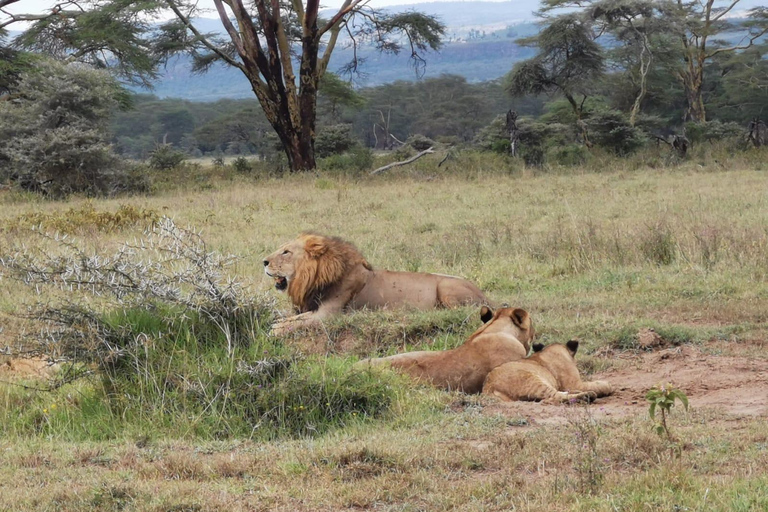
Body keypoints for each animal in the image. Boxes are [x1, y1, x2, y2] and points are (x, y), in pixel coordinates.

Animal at [264, 233, 488, 336]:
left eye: (286, 252)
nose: (263, 262)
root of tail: (486, 296)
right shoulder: (314, 308)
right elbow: (292, 318)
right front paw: (275, 323)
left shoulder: (329, 315)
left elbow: (298, 323)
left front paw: (274, 330)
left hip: (446, 287)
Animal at [484, 340, 616, 404]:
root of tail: (488, 388)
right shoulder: (574, 383)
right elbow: (600, 385)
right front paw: (608, 385)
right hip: (533, 381)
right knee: (553, 397)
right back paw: (587, 396)